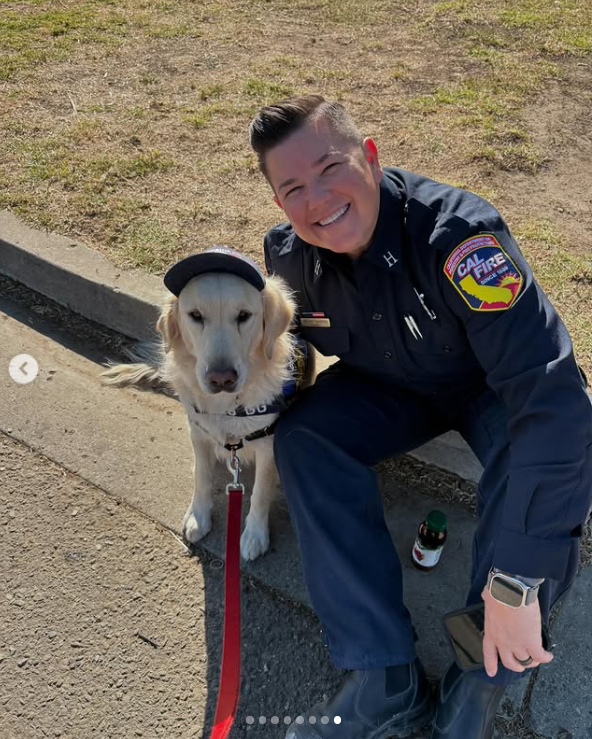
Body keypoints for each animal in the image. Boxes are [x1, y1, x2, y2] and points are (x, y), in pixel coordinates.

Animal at [102, 249, 314, 560]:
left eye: (244, 316)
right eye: (196, 316)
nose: (221, 378)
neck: (227, 405)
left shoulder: (267, 444)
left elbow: (260, 492)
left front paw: (254, 535)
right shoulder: (198, 432)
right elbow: (201, 477)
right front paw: (198, 516)